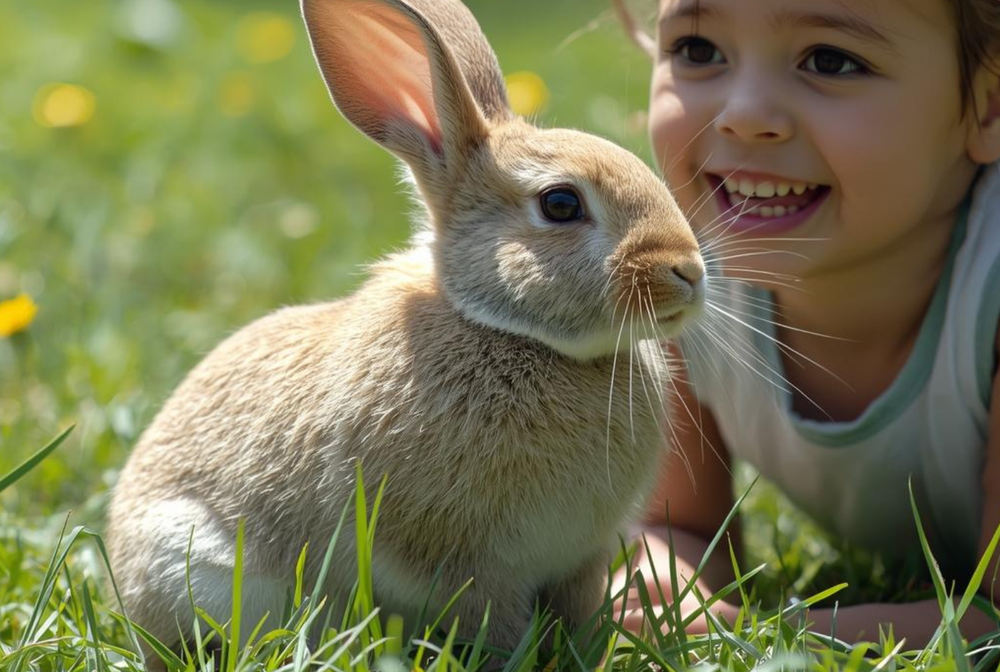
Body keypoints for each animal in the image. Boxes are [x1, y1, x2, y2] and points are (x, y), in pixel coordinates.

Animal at [105, 0, 706, 665]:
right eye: (560, 205)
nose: (688, 272)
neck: (511, 332)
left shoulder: (581, 558)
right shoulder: (465, 562)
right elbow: (492, 622)